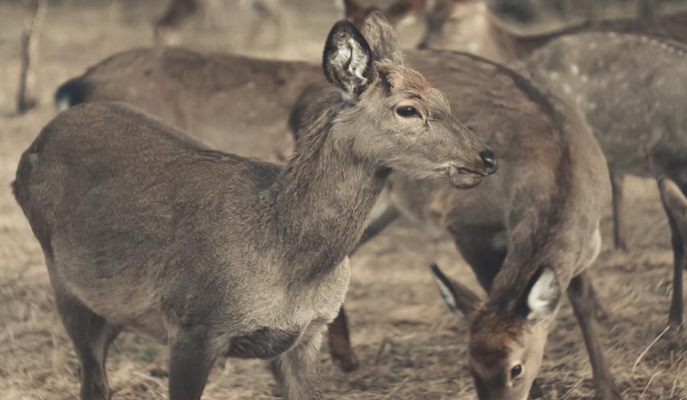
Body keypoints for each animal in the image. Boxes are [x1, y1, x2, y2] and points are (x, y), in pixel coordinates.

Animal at [13, 13, 498, 400]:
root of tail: (32, 147)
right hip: (66, 285)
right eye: (407, 109)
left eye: (445, 100)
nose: (487, 157)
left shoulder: (305, 337)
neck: (288, 258)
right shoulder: (193, 325)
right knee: (92, 380)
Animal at [290, 48, 624, 398]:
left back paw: (346, 358)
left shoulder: (588, 243)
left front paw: (607, 386)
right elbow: (492, 291)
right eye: (470, 367)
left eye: (516, 368)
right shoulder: (468, 224)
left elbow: (583, 300)